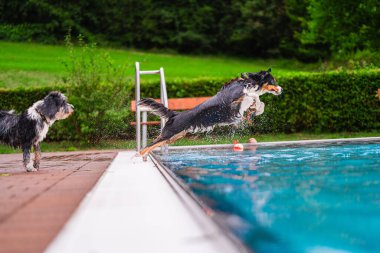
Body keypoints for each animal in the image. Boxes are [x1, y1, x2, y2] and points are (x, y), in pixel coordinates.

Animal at [138, 69, 280, 156]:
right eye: (273, 81)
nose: (281, 89)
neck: (248, 83)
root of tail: (175, 114)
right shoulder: (234, 101)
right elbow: (252, 96)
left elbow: (258, 102)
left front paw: (255, 111)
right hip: (168, 134)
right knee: (144, 148)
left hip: (174, 137)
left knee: (150, 147)